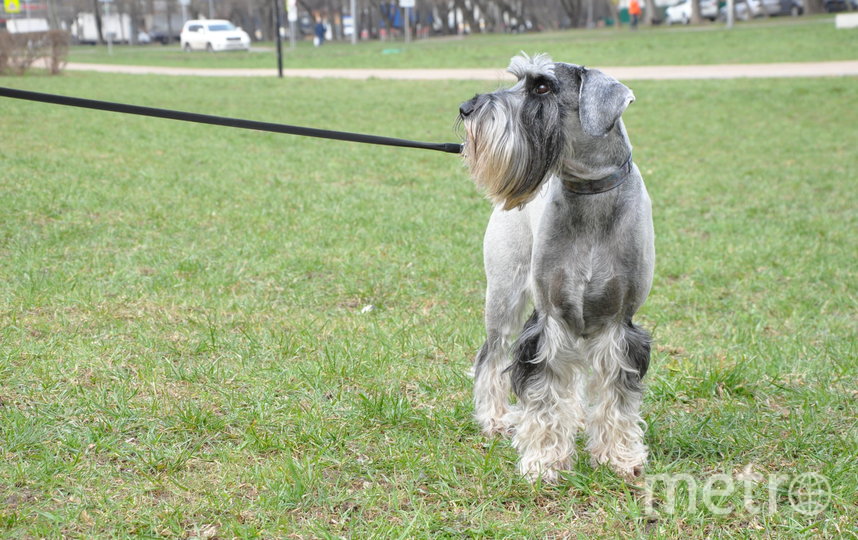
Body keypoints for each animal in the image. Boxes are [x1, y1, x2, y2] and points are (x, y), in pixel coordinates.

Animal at [458, 53, 652, 486]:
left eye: (542, 86)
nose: (466, 108)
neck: (589, 192)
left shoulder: (619, 324)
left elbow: (617, 397)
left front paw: (619, 457)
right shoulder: (548, 322)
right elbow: (545, 398)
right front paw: (544, 461)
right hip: (504, 297)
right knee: (491, 356)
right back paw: (495, 418)